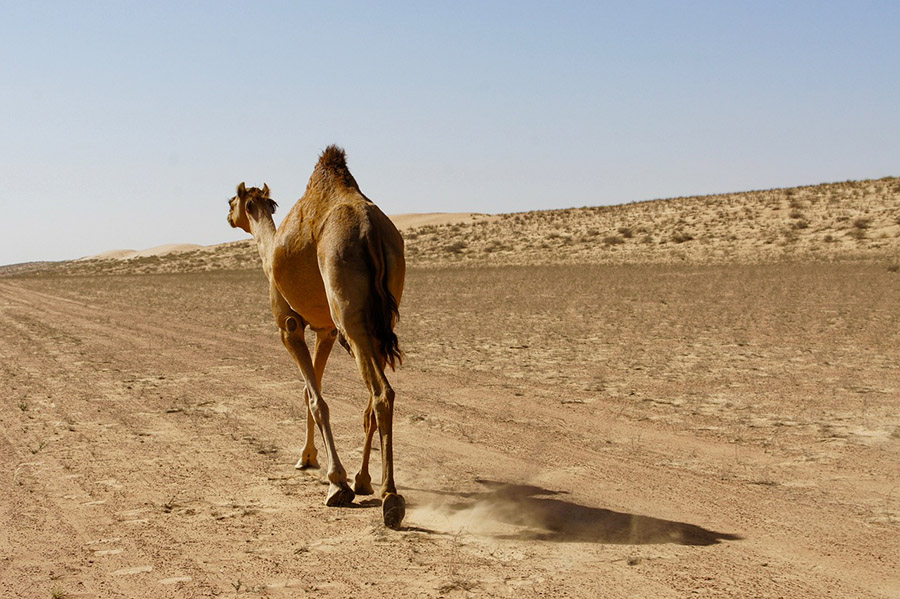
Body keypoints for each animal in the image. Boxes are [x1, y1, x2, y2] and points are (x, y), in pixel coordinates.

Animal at [226, 145, 406, 528]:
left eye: (231, 199)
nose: (227, 215)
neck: (269, 252)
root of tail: (370, 230)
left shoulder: (289, 326)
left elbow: (317, 400)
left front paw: (336, 482)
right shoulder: (325, 331)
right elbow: (312, 391)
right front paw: (310, 459)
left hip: (348, 308)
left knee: (382, 393)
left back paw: (390, 498)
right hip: (380, 317)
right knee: (371, 400)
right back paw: (366, 480)